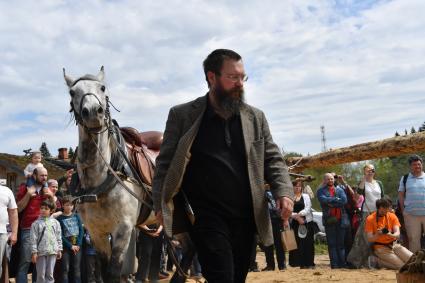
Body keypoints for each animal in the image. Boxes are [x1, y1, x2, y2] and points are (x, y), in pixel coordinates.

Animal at [63, 67, 156, 283]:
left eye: (102, 87)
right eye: (72, 92)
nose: (92, 112)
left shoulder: (123, 230)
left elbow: (114, 273)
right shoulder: (96, 232)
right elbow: (105, 271)